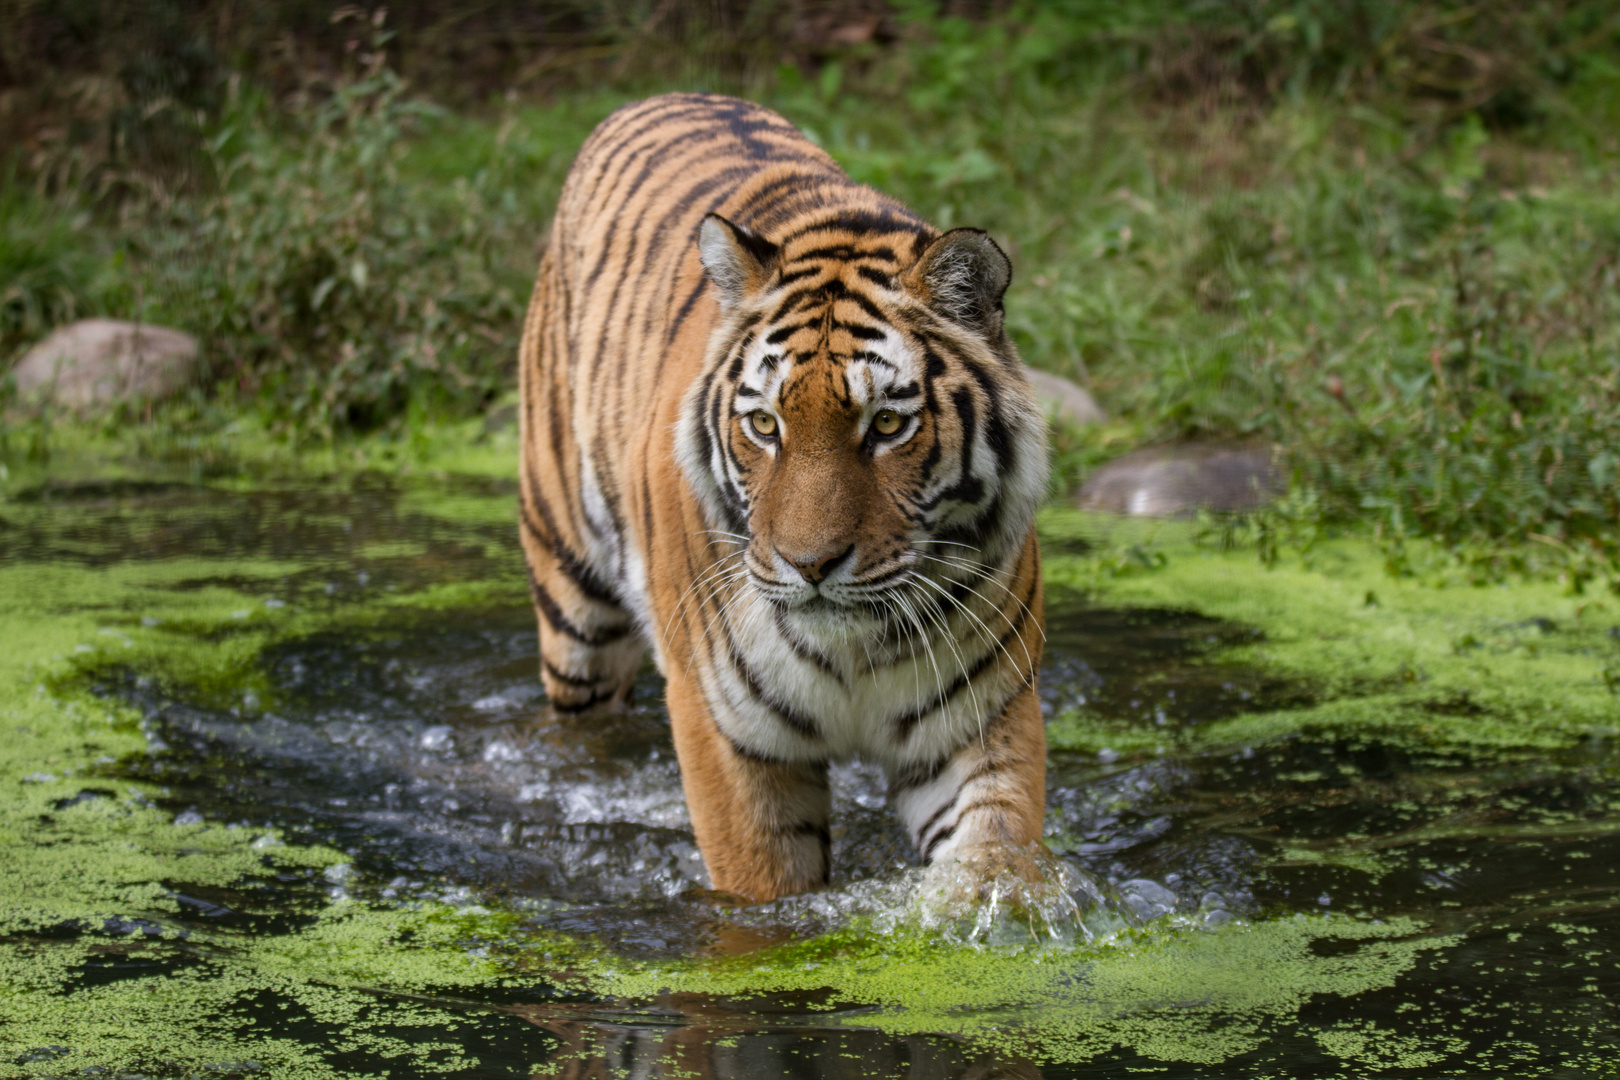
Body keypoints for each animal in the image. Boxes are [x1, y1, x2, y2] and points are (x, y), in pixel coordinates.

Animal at [521, 93, 1049, 906]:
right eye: (765, 425)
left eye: (887, 425)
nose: (811, 565)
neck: (856, 650)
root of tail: (663, 95)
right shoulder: (729, 734)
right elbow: (761, 895)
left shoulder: (980, 720)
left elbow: (995, 861)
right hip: (575, 609)